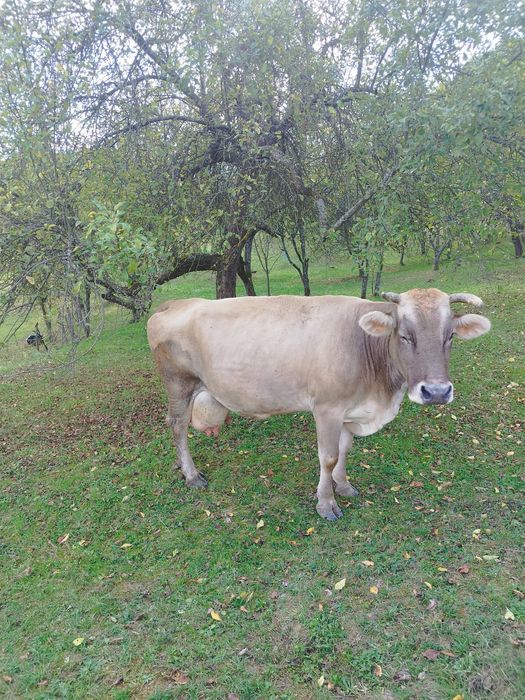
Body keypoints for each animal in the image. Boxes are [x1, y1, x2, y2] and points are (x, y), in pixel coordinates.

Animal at [147, 289, 490, 520]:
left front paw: (344, 485)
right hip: (179, 384)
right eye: (405, 336)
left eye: (449, 336)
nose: (436, 392)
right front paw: (326, 504)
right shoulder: (327, 408)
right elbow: (328, 456)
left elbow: (345, 449)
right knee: (177, 427)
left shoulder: (349, 410)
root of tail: (173, 303)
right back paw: (191, 474)